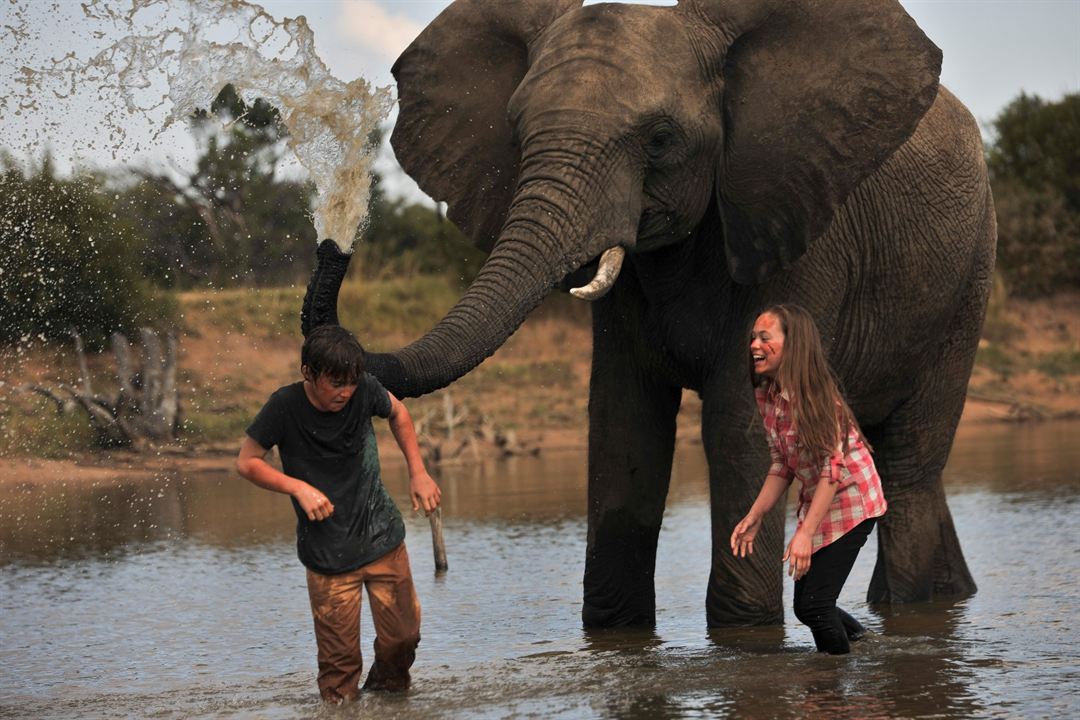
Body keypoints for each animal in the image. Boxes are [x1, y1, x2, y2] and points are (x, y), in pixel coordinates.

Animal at [306, 0, 993, 626]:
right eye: (516, 133)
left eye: (660, 140)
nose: (336, 239)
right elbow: (622, 421)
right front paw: (615, 630)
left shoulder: (797, 226)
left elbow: (740, 425)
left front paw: (745, 632)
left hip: (967, 285)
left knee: (908, 466)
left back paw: (909, 611)